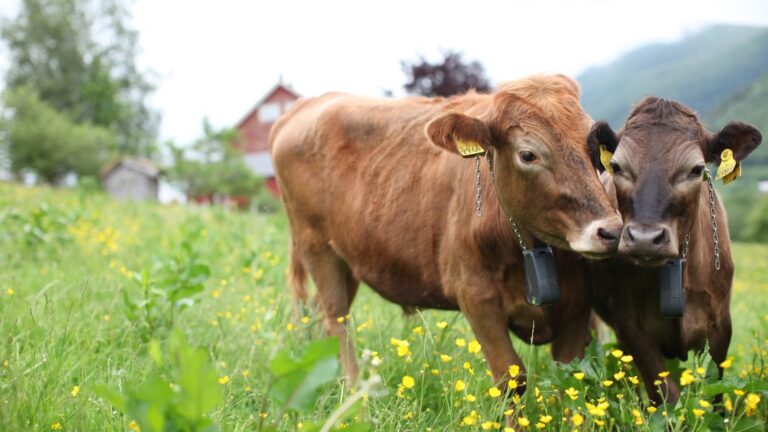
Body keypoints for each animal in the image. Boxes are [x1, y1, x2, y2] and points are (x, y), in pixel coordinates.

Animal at [270, 75, 623, 396]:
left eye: (594, 148)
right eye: (528, 154)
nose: (610, 230)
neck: (531, 249)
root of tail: (306, 106)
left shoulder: (578, 305)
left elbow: (571, 375)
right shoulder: (476, 297)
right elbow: (510, 378)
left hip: (347, 260)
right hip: (316, 247)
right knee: (336, 320)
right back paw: (356, 393)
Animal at [586, 97, 762, 404]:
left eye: (696, 169)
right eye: (617, 167)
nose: (645, 238)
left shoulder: (720, 324)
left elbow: (715, 392)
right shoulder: (631, 327)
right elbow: (665, 395)